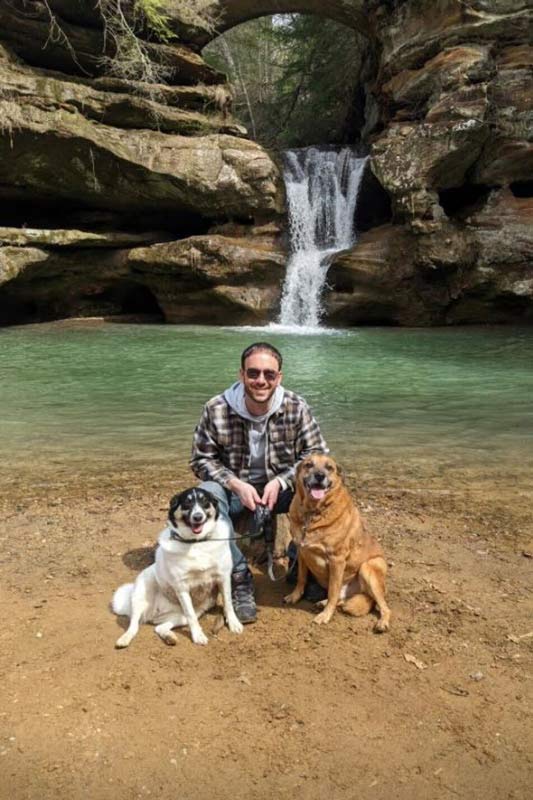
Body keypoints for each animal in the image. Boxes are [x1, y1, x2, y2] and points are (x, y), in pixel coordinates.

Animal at [113, 488, 244, 648]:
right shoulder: (182, 587)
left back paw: (169, 637)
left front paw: (233, 623)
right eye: (187, 503)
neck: (197, 542)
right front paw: (198, 636)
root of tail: (155, 613)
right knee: (134, 625)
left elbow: (228, 603)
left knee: (159, 627)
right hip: (140, 597)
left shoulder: (223, 577)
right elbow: (191, 615)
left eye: (204, 501)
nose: (198, 517)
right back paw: (124, 639)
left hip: (180, 617)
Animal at [282, 456, 390, 632]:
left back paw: (383, 622)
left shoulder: (336, 560)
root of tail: (365, 595)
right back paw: (323, 603)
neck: (313, 512)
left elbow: (332, 591)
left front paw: (326, 615)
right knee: (342, 598)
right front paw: (294, 596)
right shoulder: (302, 552)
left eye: (329, 467)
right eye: (309, 464)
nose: (320, 476)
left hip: (369, 566)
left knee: (383, 606)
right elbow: (301, 579)